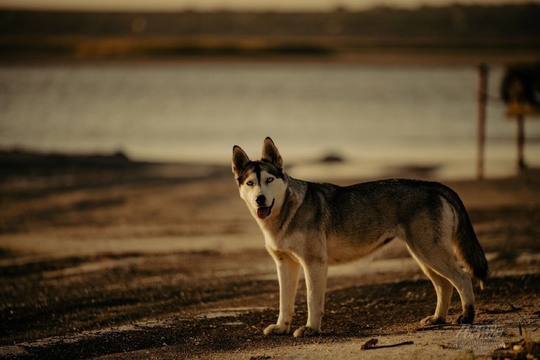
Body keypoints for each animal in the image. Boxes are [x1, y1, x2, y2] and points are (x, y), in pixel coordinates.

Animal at [232, 137, 490, 338]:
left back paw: (467, 316)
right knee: (444, 285)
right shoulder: (285, 265)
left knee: (462, 278)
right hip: (423, 256)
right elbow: (284, 302)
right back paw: (437, 319)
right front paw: (281, 328)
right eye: (251, 183)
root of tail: (434, 185)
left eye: (269, 180)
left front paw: (311, 329)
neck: (286, 213)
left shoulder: (314, 264)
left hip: (430, 253)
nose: (260, 199)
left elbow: (312, 301)